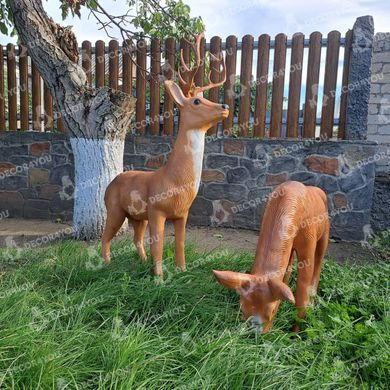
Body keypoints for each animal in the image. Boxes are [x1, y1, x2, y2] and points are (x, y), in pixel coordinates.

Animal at [102, 33, 229, 278]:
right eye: (196, 101)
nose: (225, 106)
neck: (174, 180)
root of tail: (110, 183)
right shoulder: (157, 210)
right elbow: (158, 245)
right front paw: (159, 279)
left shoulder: (182, 214)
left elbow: (179, 243)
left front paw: (182, 270)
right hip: (115, 209)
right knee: (105, 236)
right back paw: (106, 265)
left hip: (137, 216)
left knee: (136, 239)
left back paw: (141, 263)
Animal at [213, 181, 330, 334]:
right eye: (242, 308)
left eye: (273, 310)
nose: (256, 334)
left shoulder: (308, 241)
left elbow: (301, 295)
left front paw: (295, 333)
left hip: (324, 234)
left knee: (319, 262)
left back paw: (312, 303)